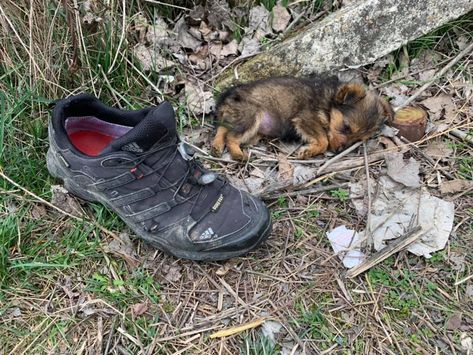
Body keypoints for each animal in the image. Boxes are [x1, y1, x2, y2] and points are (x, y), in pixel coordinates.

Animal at [212, 76, 392, 161]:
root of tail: (226, 97)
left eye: (357, 140)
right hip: (252, 116)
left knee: (223, 127)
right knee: (231, 136)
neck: (328, 103)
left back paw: (217, 145)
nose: (339, 151)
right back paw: (237, 154)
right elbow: (324, 140)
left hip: (244, 123)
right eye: (346, 127)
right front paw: (308, 151)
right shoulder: (305, 119)